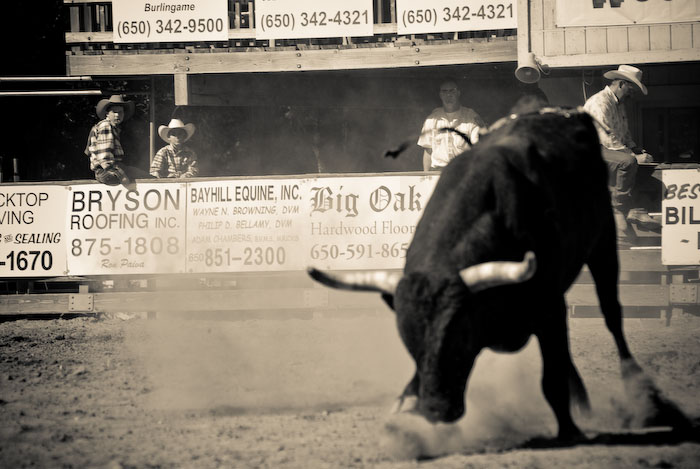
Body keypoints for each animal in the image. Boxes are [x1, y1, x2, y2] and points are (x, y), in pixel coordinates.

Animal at [310, 107, 688, 438]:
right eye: (409, 339)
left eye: (460, 335)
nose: (435, 410)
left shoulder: (548, 304)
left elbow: (551, 377)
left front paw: (570, 430)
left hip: (603, 241)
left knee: (612, 315)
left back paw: (645, 400)